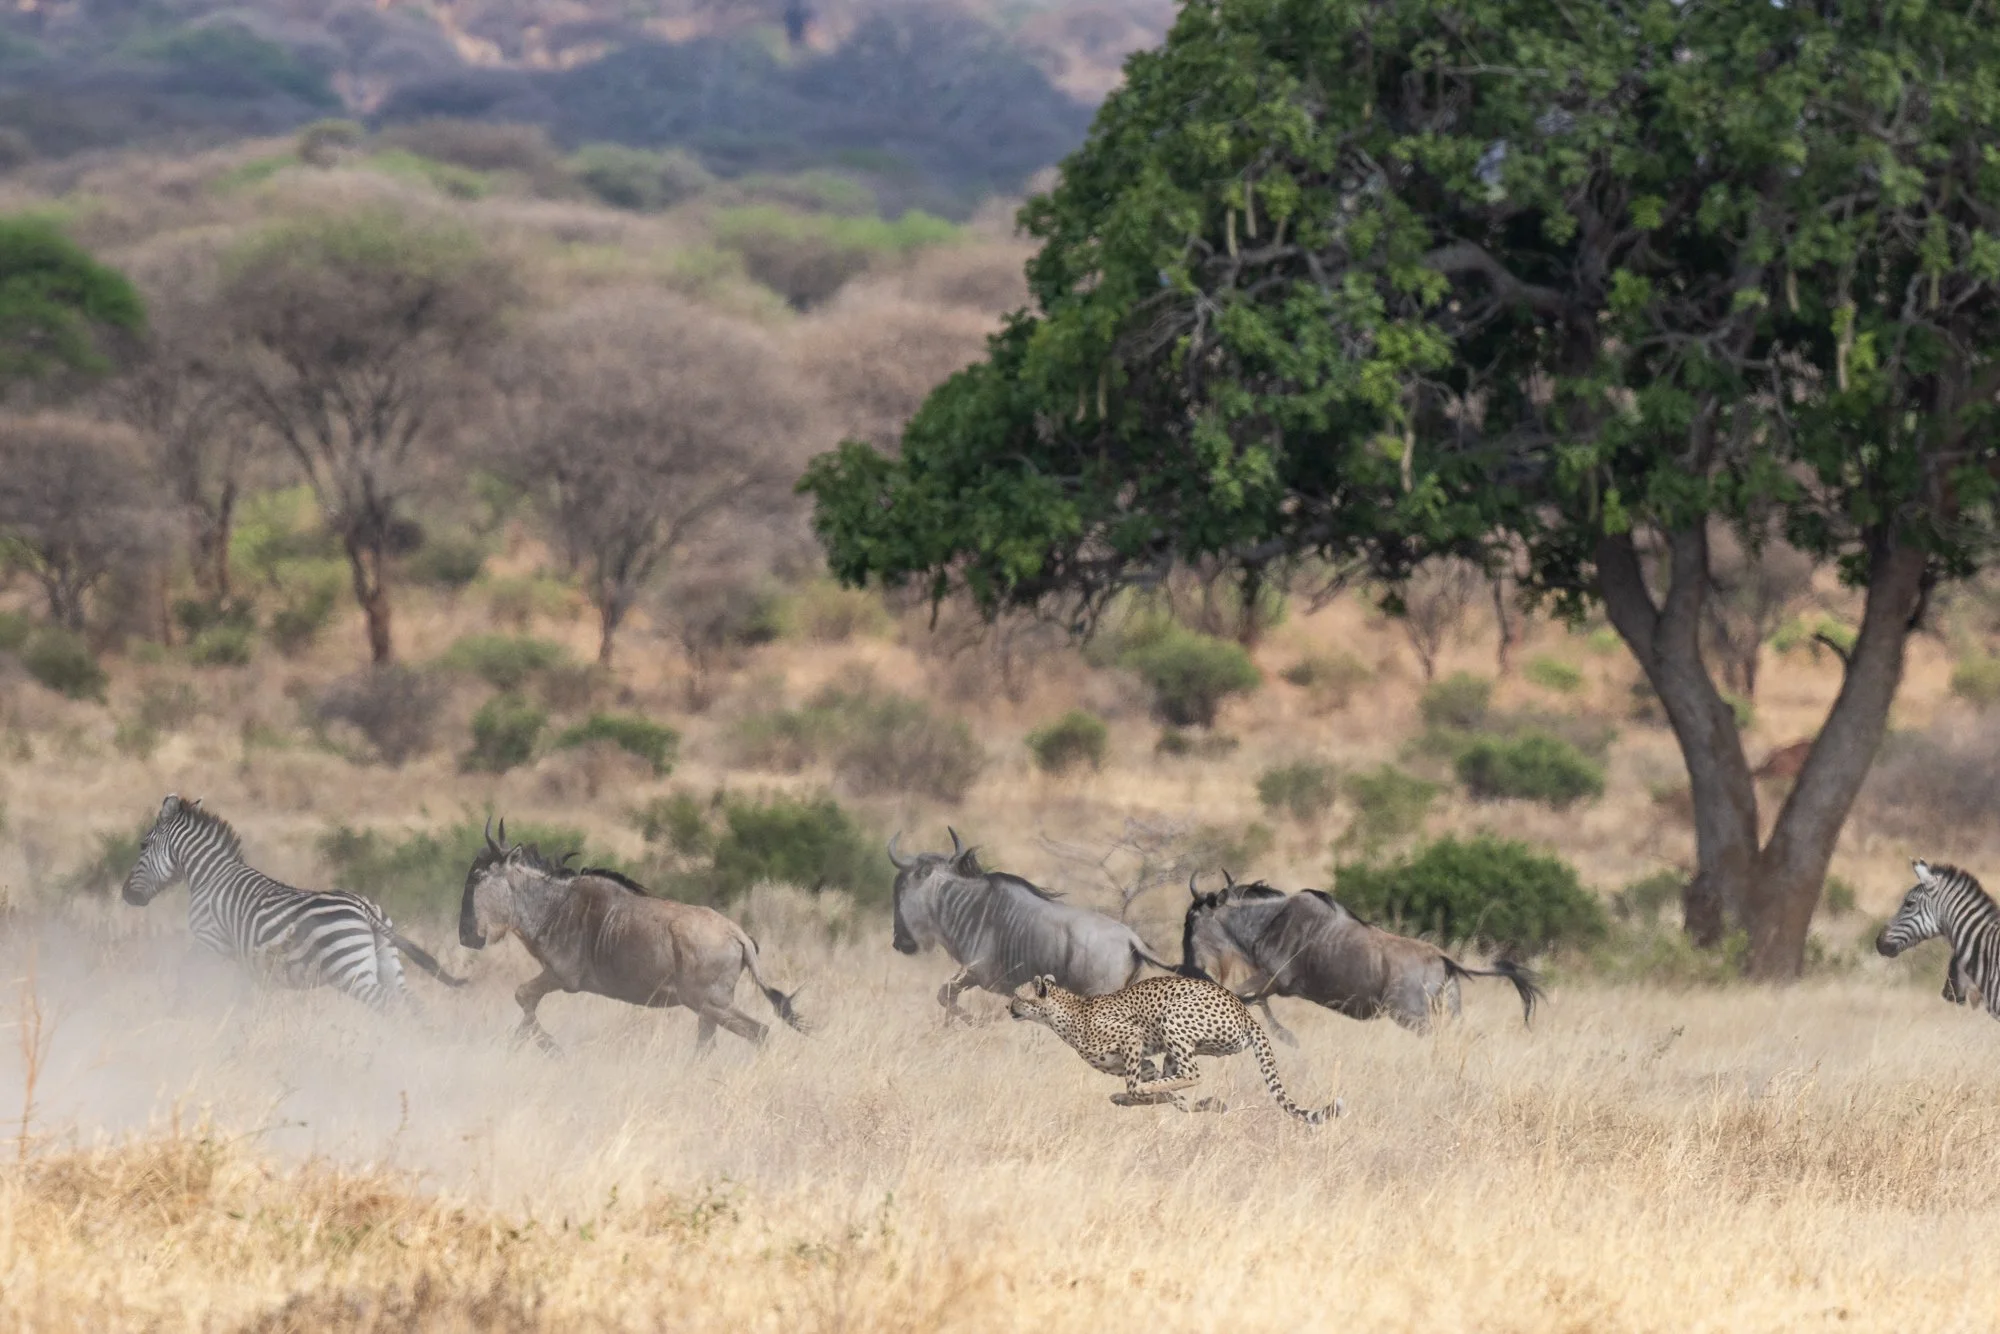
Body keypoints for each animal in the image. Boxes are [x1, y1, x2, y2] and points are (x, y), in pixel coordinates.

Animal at [1008, 973, 1342, 1124]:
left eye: (1018, 996)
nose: (1007, 1006)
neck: (1066, 1014)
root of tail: (1244, 1010)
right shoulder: (1144, 1061)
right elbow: (1168, 1094)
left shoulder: (1131, 1037)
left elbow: (1138, 1087)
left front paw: (1130, 1096)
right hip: (1176, 1046)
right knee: (1180, 1078)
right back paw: (1206, 1104)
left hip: (1173, 1018)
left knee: (1193, 1073)